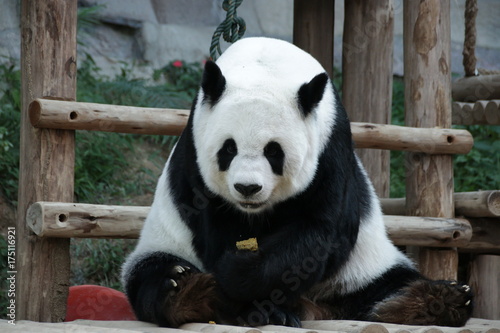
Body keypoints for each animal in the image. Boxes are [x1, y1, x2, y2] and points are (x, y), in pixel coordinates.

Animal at [121, 36, 472, 326]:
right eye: (228, 148)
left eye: (273, 151)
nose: (247, 188)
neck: (265, 63)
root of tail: (319, 308)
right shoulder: (196, 149)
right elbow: (213, 224)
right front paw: (247, 301)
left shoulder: (331, 147)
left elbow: (319, 231)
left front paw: (240, 274)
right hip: (161, 242)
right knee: (151, 276)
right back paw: (185, 291)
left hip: (362, 268)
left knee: (389, 285)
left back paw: (440, 302)